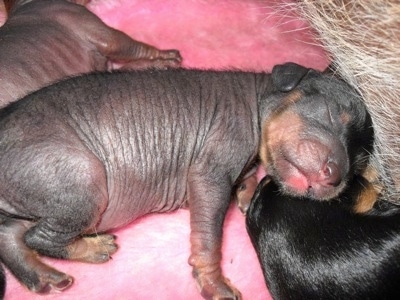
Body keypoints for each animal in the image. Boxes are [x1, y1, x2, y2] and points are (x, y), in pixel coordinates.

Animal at [0, 62, 372, 298]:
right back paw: (92, 248)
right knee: (38, 236)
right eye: (329, 114)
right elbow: (209, 236)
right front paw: (214, 285)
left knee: (11, 233)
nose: (336, 175)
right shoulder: (209, 171)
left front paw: (247, 191)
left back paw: (42, 276)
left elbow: (248, 176)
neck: (255, 102)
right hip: (81, 178)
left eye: (358, 163)